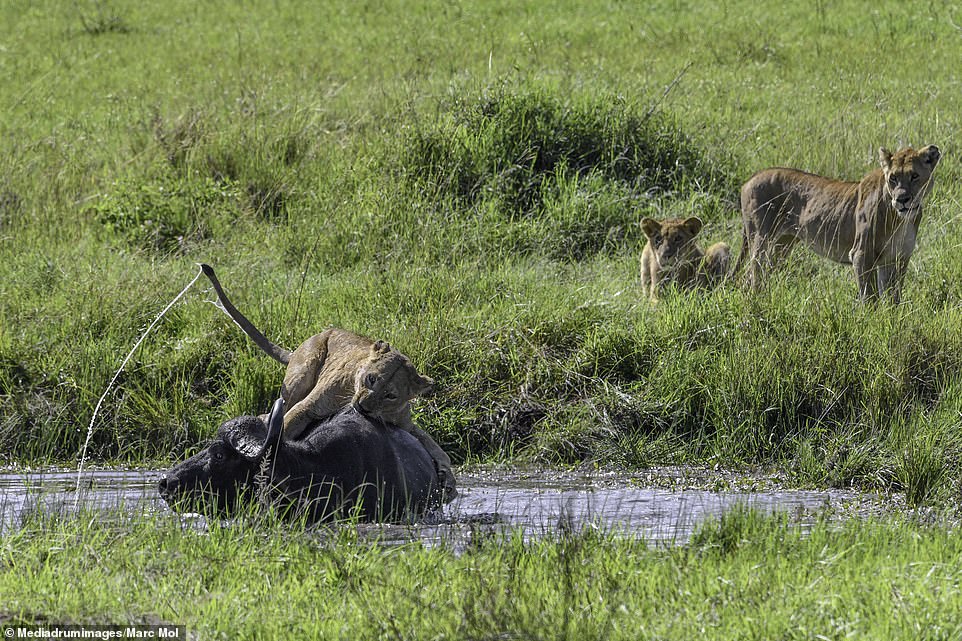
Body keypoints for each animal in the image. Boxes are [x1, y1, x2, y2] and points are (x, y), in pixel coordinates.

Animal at [199, 264, 457, 502]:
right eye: (371, 378)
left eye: (390, 395)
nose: (363, 406)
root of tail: (300, 347)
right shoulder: (306, 408)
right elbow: (286, 429)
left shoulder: (406, 425)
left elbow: (435, 446)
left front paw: (449, 481)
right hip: (302, 374)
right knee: (269, 413)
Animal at [736, 144, 941, 302]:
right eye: (893, 178)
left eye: (914, 176)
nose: (902, 199)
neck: (901, 219)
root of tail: (749, 179)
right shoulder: (861, 254)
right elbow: (870, 298)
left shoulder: (897, 258)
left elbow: (893, 299)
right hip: (761, 239)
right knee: (752, 276)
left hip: (782, 244)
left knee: (757, 276)